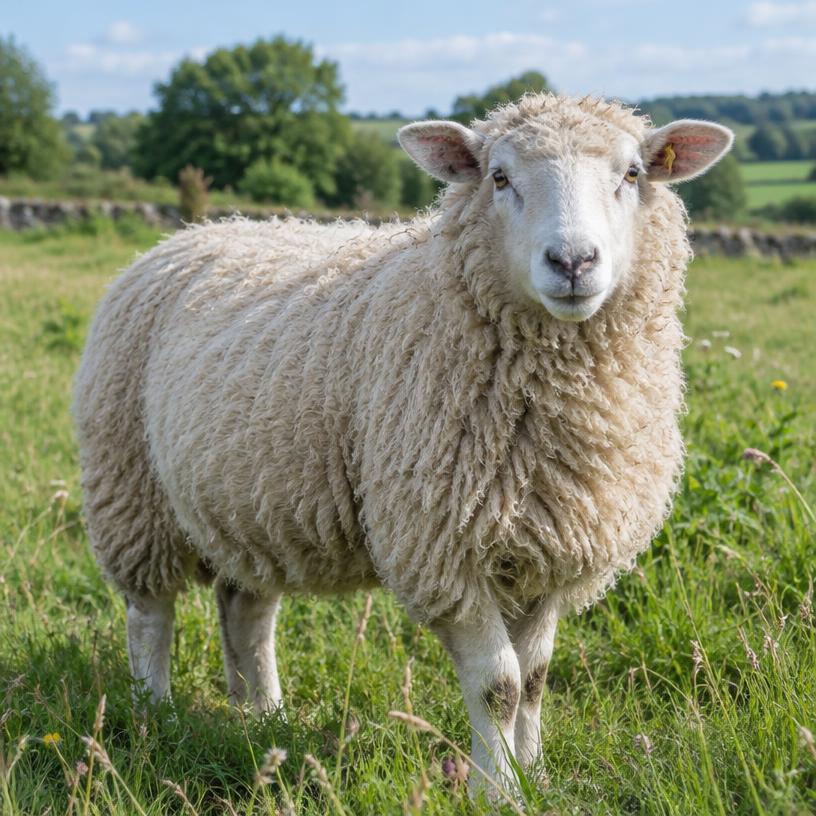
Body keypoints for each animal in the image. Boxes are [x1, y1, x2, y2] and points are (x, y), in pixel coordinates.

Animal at [73, 93, 733, 795]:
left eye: (632, 174)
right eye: (499, 177)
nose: (573, 263)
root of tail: (192, 232)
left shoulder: (551, 549)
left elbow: (534, 679)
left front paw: (535, 776)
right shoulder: (442, 547)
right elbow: (500, 685)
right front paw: (495, 792)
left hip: (249, 502)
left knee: (245, 609)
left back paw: (263, 717)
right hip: (131, 487)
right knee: (149, 612)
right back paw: (155, 714)